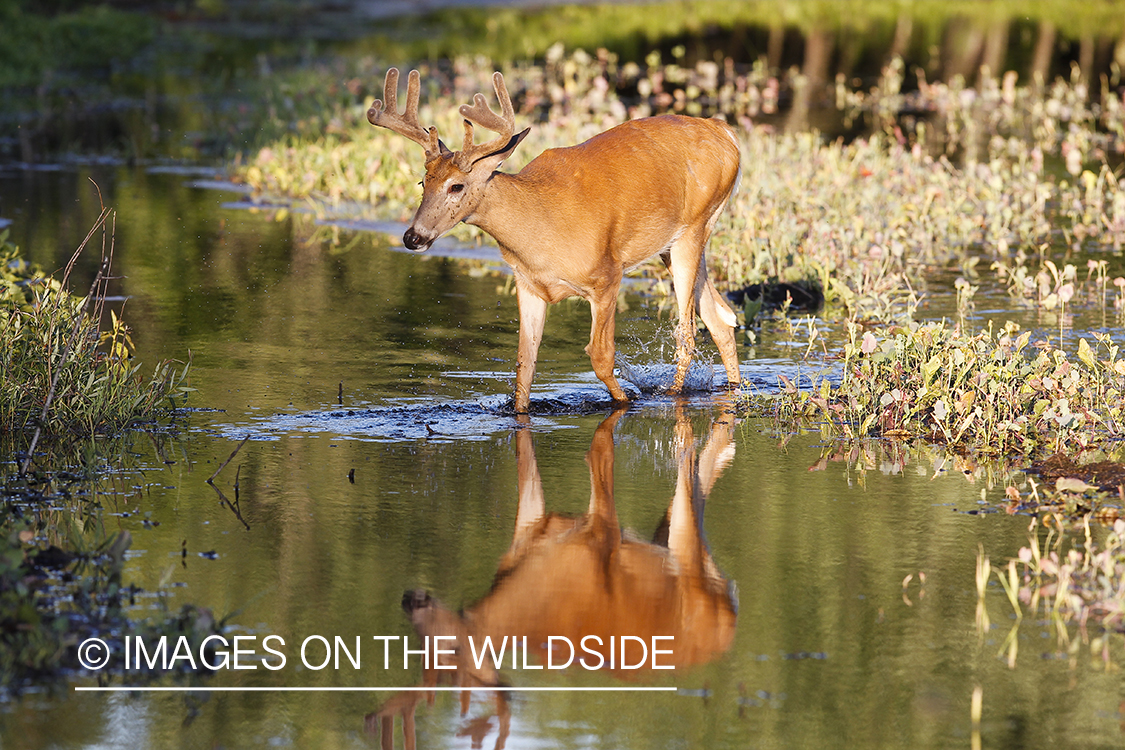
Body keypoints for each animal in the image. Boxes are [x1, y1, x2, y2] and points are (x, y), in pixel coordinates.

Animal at [364, 67, 742, 413]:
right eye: (422, 182)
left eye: (456, 185)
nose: (413, 237)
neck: (541, 228)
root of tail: (725, 132)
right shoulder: (528, 284)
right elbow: (524, 365)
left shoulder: (607, 275)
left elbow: (601, 356)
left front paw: (625, 401)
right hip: (676, 244)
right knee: (721, 318)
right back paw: (734, 391)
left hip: (692, 229)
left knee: (688, 331)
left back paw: (675, 394)